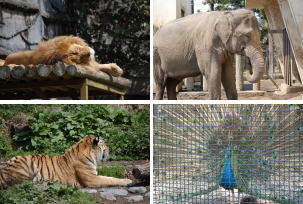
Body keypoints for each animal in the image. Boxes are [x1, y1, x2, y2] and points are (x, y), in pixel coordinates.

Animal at [0, 135, 132, 190]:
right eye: (103, 143)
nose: (109, 149)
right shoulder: (92, 179)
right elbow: (110, 180)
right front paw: (128, 181)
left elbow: (110, 176)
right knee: (19, 184)